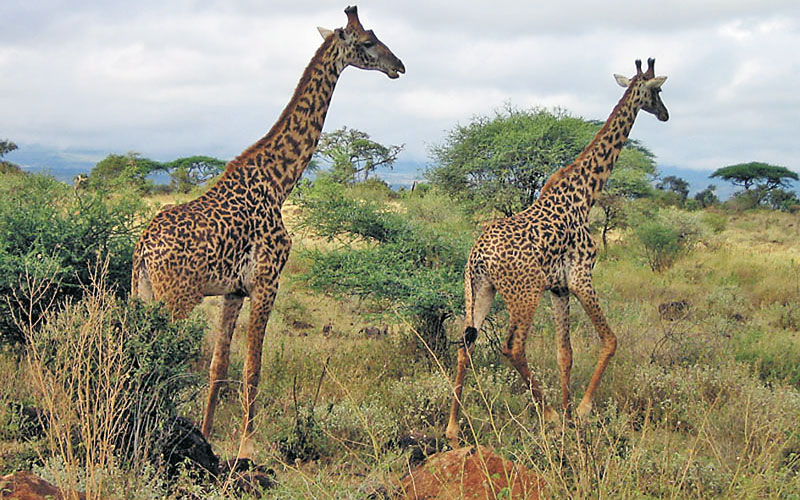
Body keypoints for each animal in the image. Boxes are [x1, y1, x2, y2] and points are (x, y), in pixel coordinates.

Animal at [131, 6, 404, 461]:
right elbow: (253, 366)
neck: (279, 181)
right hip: (176, 297)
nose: (398, 65)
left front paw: (207, 434)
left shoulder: (233, 291)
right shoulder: (266, 281)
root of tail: (143, 249)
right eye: (368, 42)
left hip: (144, 293)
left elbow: (219, 366)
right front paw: (248, 444)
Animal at [446, 59, 668, 446]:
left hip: (479, 290)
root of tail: (478, 256)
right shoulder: (581, 277)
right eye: (657, 92)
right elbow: (610, 340)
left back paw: (454, 430)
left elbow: (565, 353)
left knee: (465, 345)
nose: (665, 114)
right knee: (512, 347)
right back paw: (546, 414)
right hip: (524, 294)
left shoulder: (559, 288)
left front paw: (567, 415)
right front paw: (578, 411)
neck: (586, 192)